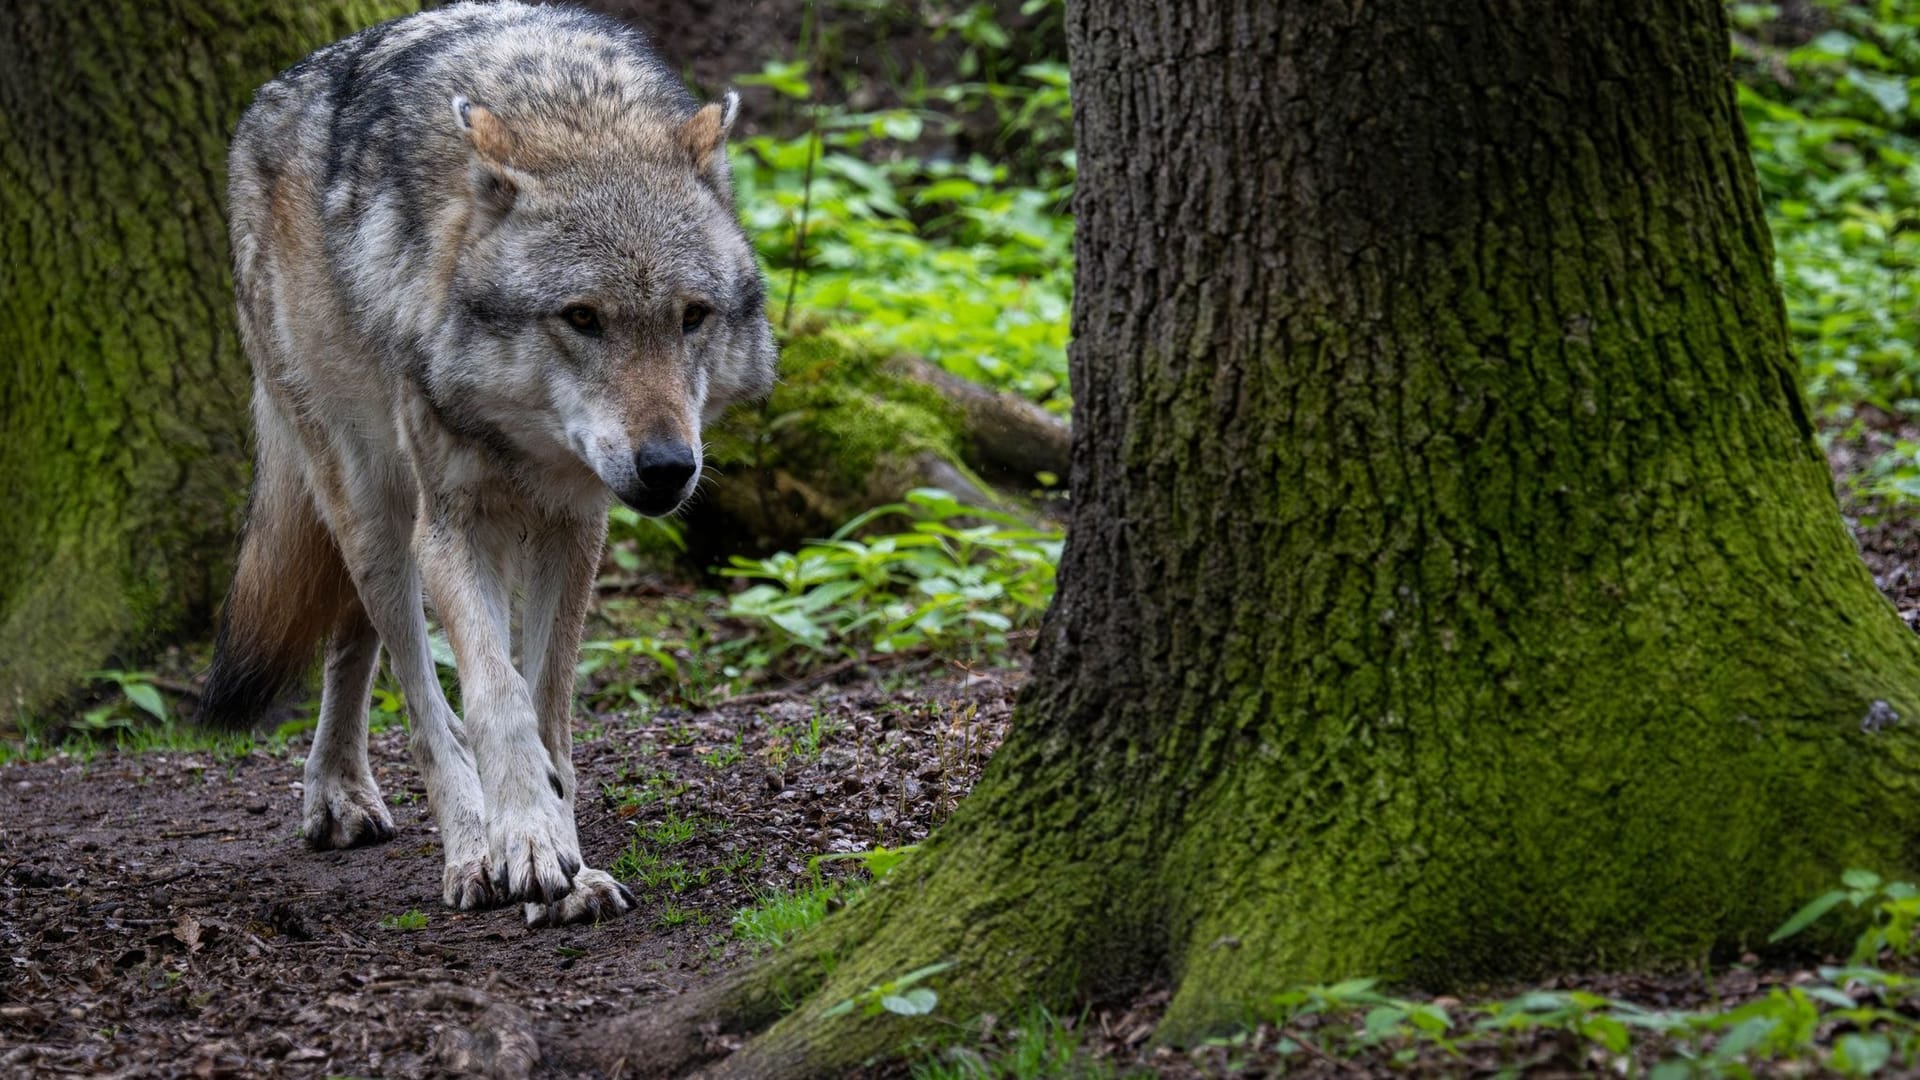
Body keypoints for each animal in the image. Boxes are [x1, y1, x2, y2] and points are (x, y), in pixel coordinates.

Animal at [202, 2, 779, 926]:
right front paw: (525, 844)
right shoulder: (454, 526)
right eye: (581, 317)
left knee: (354, 641)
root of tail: (269, 98)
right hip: (375, 509)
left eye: (692, 316)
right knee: (417, 690)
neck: (571, 112)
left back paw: (345, 790)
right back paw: (463, 847)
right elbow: (494, 699)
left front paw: (565, 858)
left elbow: (546, 705)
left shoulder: (574, 528)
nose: (667, 467)